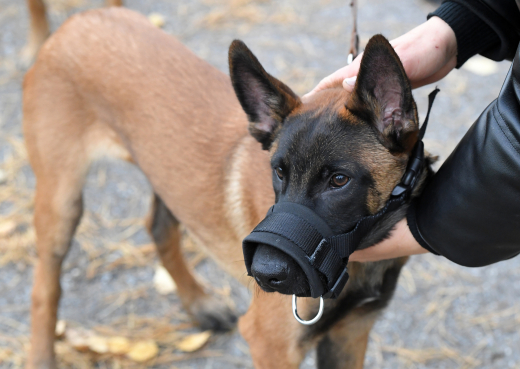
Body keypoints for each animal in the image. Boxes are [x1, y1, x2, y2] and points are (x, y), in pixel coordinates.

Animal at [23, 6, 430, 368]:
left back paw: (199, 304)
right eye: (278, 172)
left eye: (339, 180)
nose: (263, 273)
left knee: (159, 228)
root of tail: (79, 20)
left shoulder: (349, 335)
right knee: (44, 288)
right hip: (62, 202)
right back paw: (41, 356)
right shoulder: (271, 345)